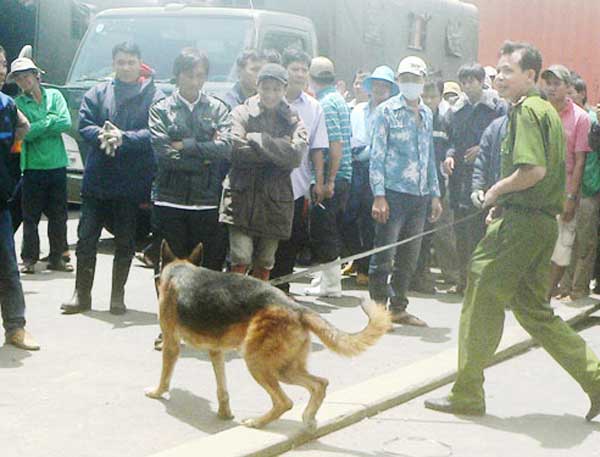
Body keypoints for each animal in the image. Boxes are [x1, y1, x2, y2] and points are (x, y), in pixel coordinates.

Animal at [144, 240, 390, 430]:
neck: (178, 270)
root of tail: (298, 309)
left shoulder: (171, 343)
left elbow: (165, 375)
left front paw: (157, 392)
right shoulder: (216, 352)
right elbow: (222, 387)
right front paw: (224, 412)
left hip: (257, 363)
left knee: (285, 402)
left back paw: (257, 423)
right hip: (284, 368)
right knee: (320, 384)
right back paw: (308, 419)